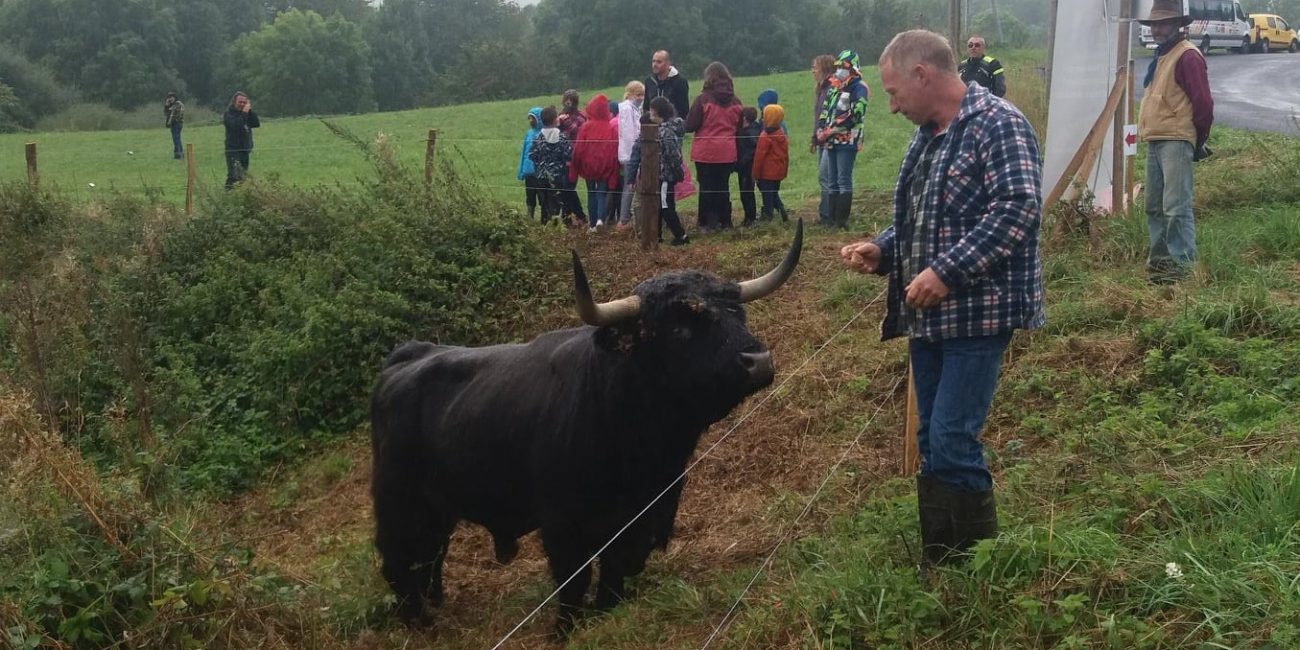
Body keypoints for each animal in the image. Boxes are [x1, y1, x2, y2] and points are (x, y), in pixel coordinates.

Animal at [369, 220, 800, 631]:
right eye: (679, 327)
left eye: (737, 312)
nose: (758, 360)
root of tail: (407, 356)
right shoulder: (563, 524)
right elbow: (573, 582)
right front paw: (566, 629)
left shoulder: (641, 517)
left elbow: (614, 570)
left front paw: (607, 609)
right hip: (399, 502)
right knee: (399, 560)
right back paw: (419, 622)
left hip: (438, 507)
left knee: (430, 556)